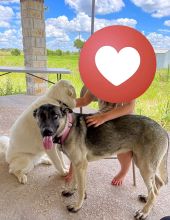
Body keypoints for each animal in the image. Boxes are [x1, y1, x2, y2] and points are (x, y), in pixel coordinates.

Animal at [33, 103, 169, 220]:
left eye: (55, 116)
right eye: (41, 116)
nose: (47, 131)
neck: (68, 127)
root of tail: (163, 130)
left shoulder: (81, 165)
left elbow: (81, 188)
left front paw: (77, 206)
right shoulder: (76, 163)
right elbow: (75, 181)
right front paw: (71, 190)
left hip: (144, 165)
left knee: (154, 191)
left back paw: (144, 212)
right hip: (143, 163)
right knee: (158, 183)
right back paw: (147, 199)